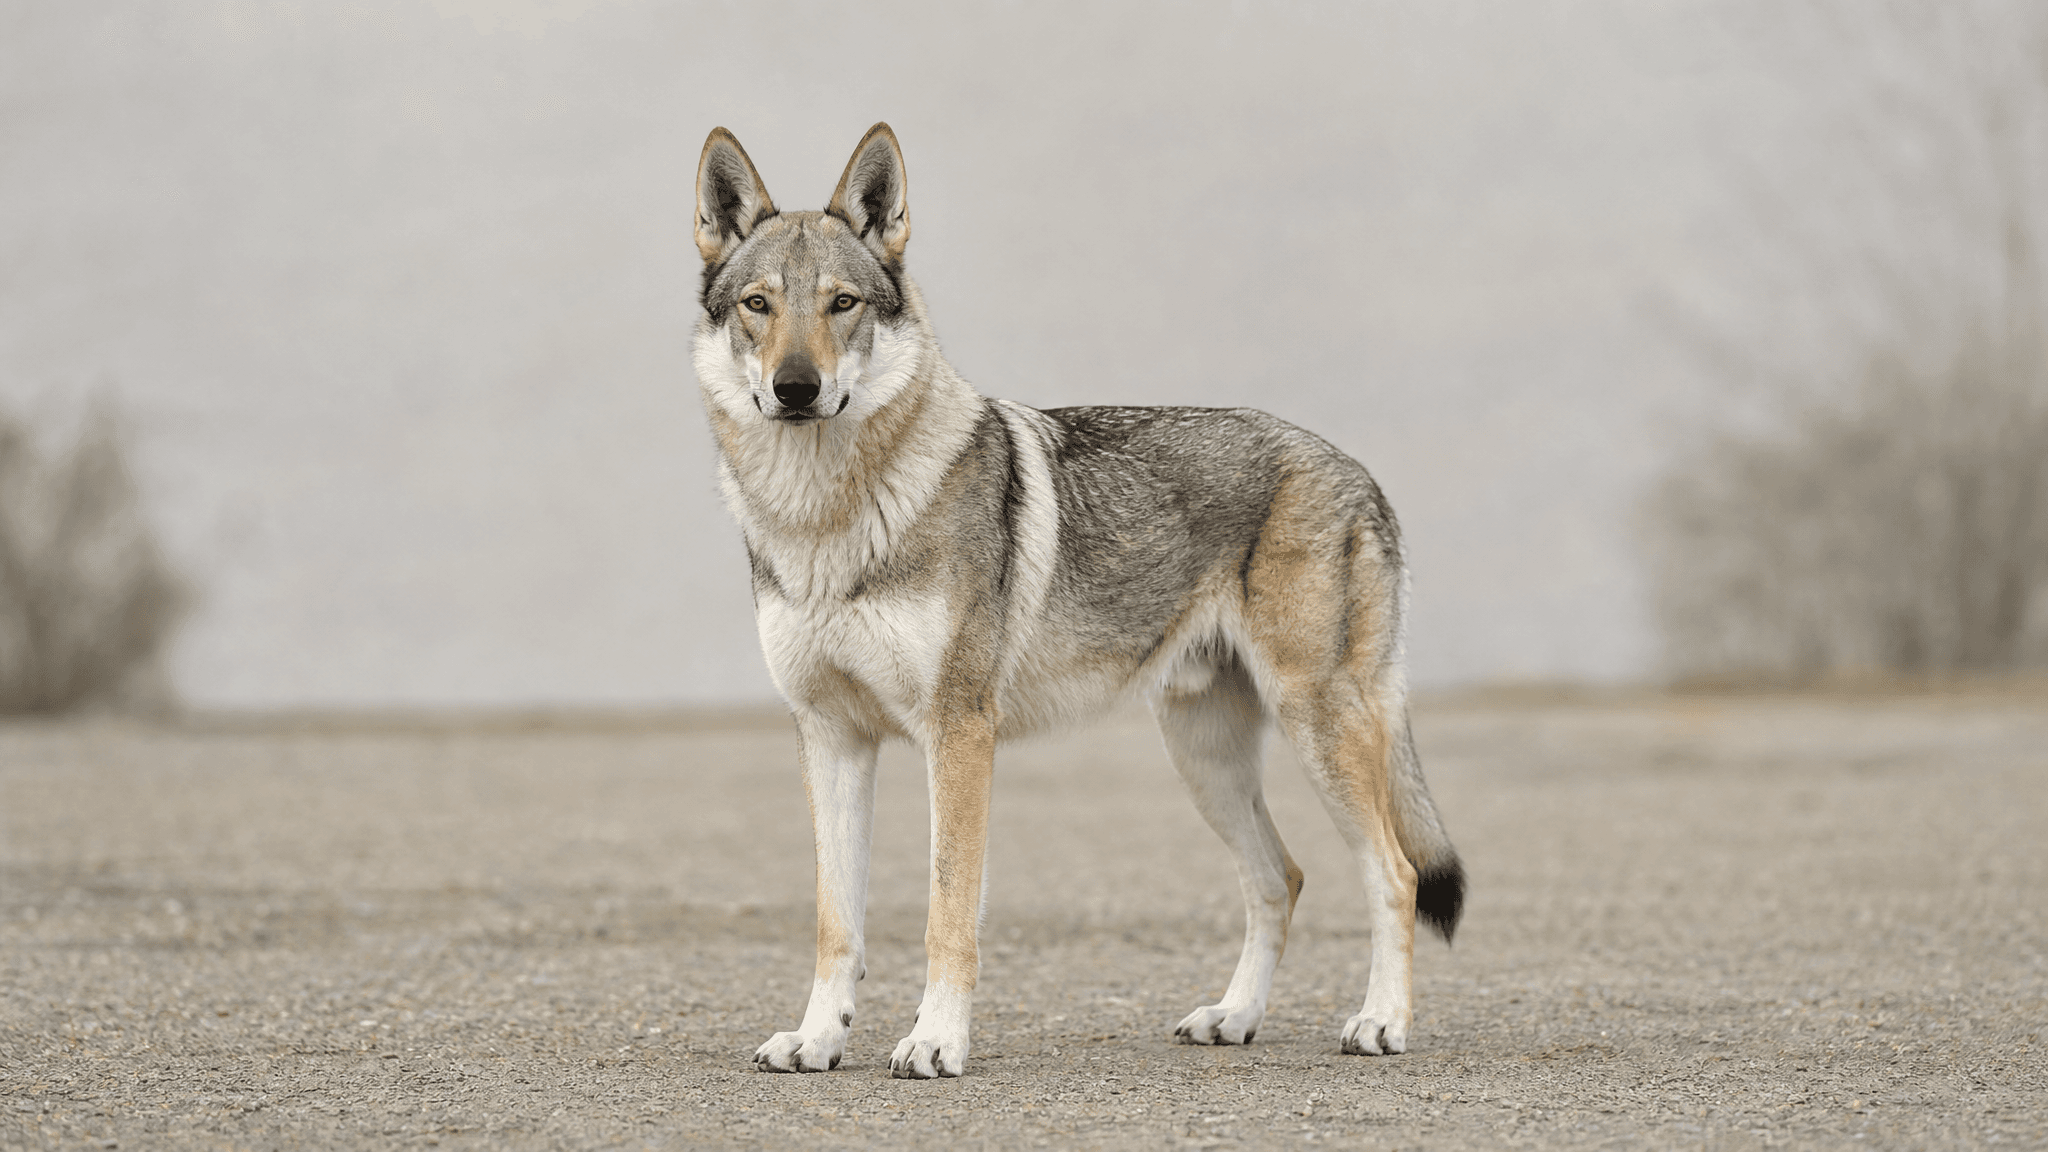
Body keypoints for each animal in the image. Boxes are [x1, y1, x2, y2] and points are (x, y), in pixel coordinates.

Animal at [692, 123, 1464, 1079]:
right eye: (759, 305)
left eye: (842, 304)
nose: (795, 388)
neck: (825, 520)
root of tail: (1357, 470)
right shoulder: (831, 738)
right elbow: (838, 922)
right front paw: (817, 1038)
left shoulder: (959, 734)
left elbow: (948, 913)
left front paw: (936, 1041)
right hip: (1204, 756)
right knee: (1278, 877)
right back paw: (1234, 1017)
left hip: (1317, 728)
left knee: (1393, 873)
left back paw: (1381, 1023)